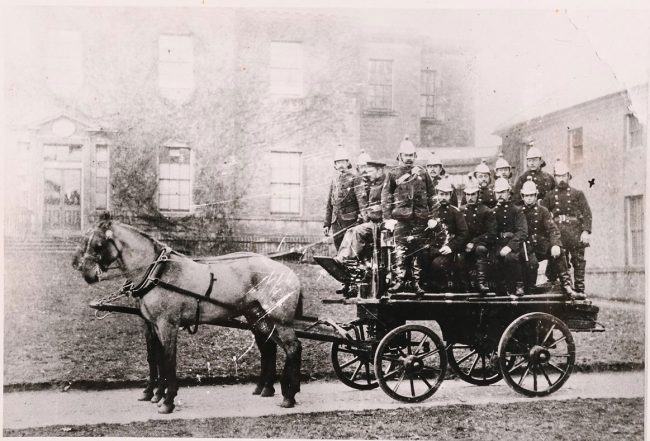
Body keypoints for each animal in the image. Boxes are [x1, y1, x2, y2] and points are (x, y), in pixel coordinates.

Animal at [73, 211, 304, 410]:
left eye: (98, 244)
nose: (85, 272)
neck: (157, 272)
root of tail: (288, 272)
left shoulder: (167, 324)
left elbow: (168, 359)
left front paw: (167, 401)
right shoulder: (151, 324)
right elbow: (155, 357)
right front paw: (155, 394)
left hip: (280, 319)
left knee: (293, 348)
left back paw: (289, 395)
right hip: (258, 317)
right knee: (271, 347)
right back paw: (267, 389)